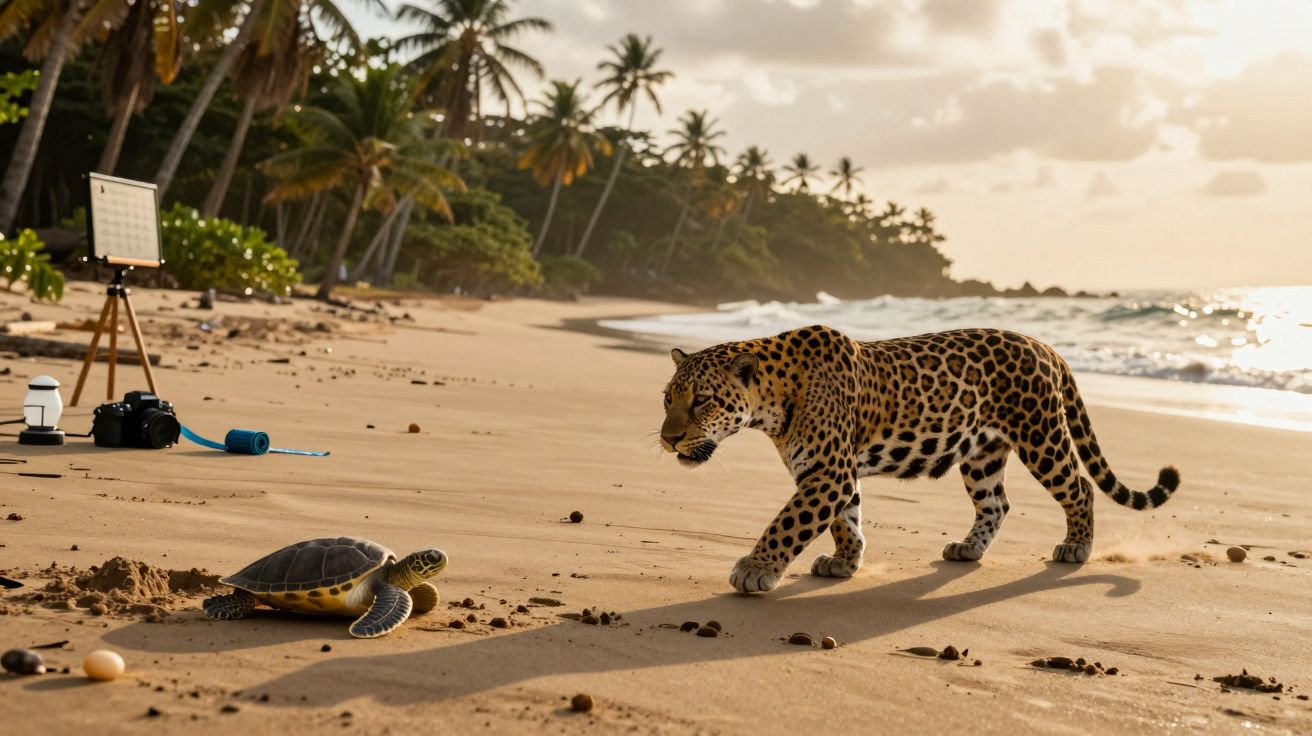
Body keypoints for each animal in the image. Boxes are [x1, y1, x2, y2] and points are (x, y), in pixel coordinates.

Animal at [659, 325, 1180, 593]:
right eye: (668, 399)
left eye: (703, 400)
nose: (668, 439)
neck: (772, 400)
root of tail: (1045, 346)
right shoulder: (834, 473)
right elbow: (846, 520)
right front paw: (845, 562)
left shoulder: (828, 474)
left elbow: (788, 523)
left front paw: (755, 568)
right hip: (982, 452)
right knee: (997, 503)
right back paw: (968, 549)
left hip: (1042, 435)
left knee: (1080, 487)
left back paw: (1076, 547)